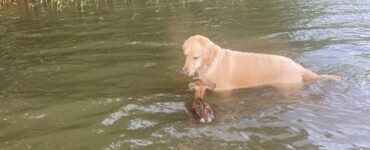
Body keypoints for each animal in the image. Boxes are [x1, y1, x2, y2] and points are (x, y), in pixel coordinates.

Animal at [182, 35, 342, 91]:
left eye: (196, 57)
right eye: (186, 55)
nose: (184, 71)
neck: (213, 63)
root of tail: (298, 67)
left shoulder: (223, 90)